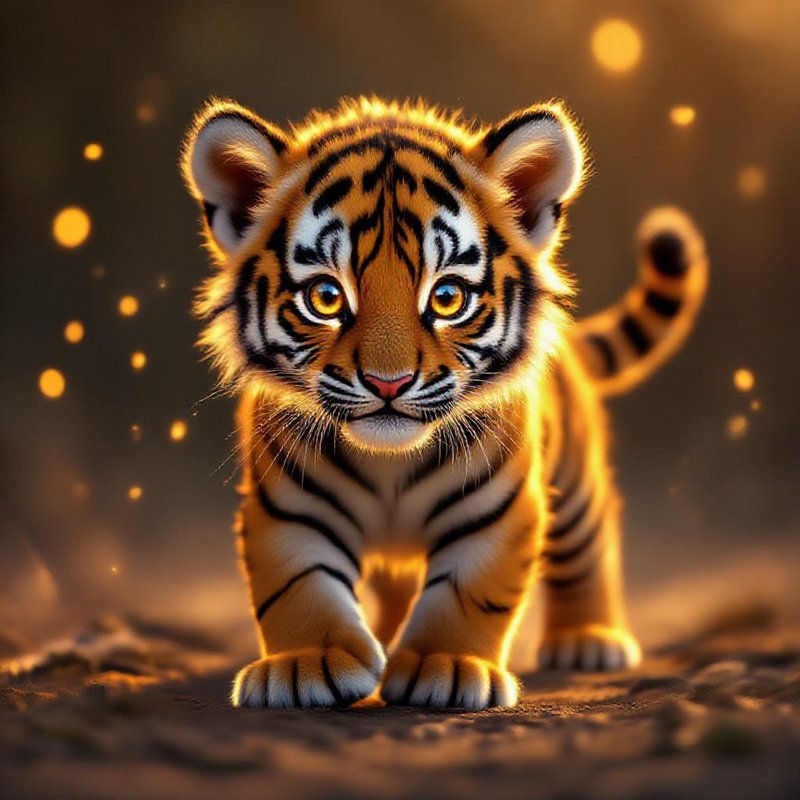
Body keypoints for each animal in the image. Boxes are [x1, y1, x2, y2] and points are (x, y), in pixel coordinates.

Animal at [181, 96, 707, 710]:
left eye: (448, 297)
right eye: (326, 298)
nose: (388, 383)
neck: (388, 464)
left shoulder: (499, 510)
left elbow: (469, 591)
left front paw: (446, 667)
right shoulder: (288, 507)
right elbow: (299, 585)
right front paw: (309, 663)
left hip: (574, 480)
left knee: (590, 543)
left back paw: (588, 639)